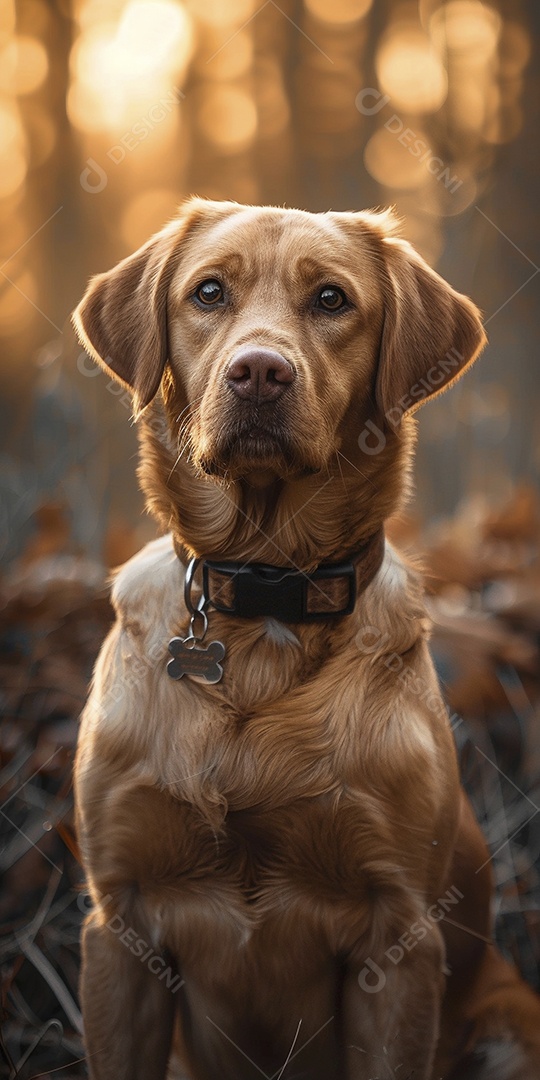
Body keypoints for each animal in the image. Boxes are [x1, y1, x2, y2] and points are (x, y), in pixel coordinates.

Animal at [71, 198, 540, 1075]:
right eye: (208, 291)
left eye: (331, 300)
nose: (259, 371)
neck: (265, 595)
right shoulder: (119, 928)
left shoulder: (399, 944)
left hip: (507, 1023)